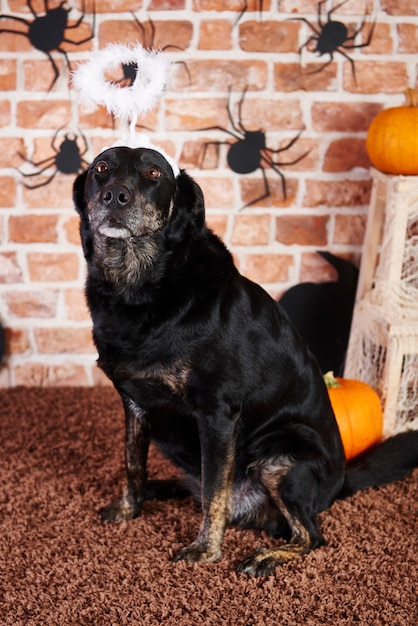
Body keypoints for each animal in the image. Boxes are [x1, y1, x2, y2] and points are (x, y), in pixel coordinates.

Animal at [73, 146, 418, 576]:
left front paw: (206, 550)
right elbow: (133, 464)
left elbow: (214, 493)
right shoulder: (134, 403)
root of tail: (340, 484)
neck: (137, 289)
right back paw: (161, 488)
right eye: (101, 169)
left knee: (308, 533)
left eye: (153, 173)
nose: (115, 196)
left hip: (281, 458)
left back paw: (266, 555)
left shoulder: (217, 414)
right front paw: (127, 508)